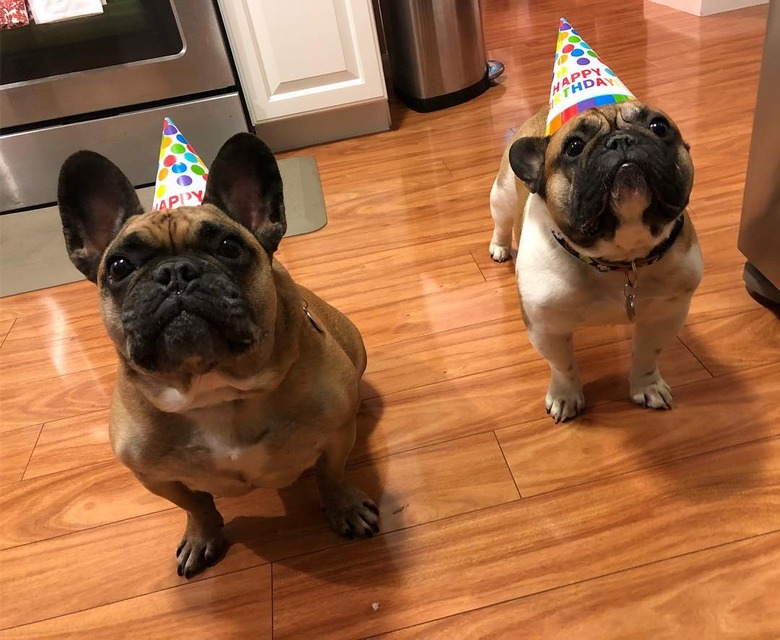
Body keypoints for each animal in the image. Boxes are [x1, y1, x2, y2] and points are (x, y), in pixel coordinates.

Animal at [58, 132, 380, 576]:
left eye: (229, 246)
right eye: (120, 265)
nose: (174, 272)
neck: (213, 388)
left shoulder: (335, 437)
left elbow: (332, 477)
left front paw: (346, 508)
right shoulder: (154, 476)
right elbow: (196, 504)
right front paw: (202, 536)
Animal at [490, 102, 704, 422]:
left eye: (659, 127)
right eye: (574, 147)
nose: (621, 140)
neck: (620, 259)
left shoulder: (666, 314)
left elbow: (647, 355)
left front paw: (647, 386)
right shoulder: (546, 327)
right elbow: (562, 366)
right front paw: (565, 397)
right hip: (501, 196)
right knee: (501, 223)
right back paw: (500, 248)